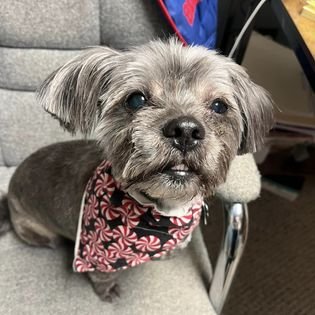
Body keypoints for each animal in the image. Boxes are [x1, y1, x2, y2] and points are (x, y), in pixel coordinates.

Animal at [0, 38, 274, 302]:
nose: (185, 130)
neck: (161, 210)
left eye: (219, 106)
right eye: (135, 99)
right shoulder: (96, 255)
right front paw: (107, 290)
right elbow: (101, 275)